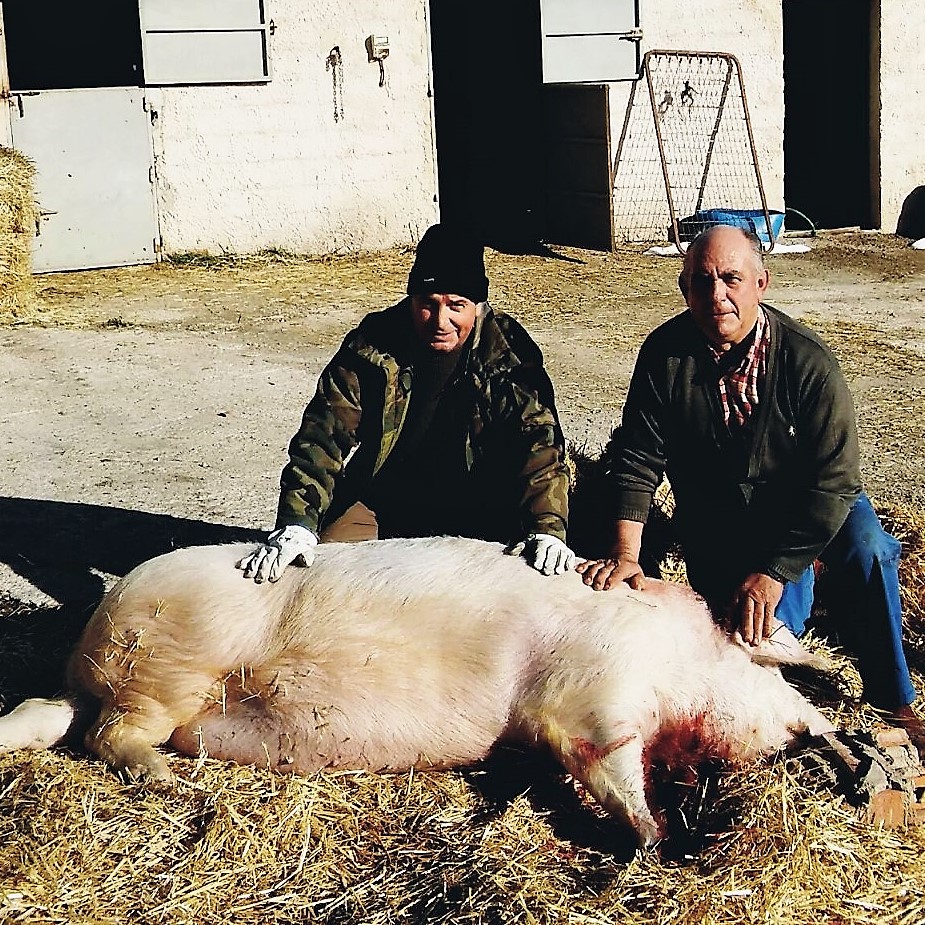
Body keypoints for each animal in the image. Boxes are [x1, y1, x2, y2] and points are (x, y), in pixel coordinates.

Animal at [0, 536, 832, 844]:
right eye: (767, 670)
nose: (818, 727)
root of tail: (99, 623)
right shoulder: (587, 689)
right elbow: (604, 751)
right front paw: (652, 834)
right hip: (171, 663)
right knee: (109, 734)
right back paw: (171, 782)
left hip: (123, 680)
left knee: (55, 716)